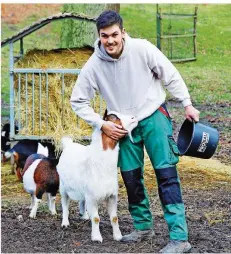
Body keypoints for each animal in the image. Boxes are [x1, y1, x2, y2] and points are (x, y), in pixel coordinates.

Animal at [57, 112, 137, 242]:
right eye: (114, 117)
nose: (133, 118)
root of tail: (69, 145)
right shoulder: (92, 197)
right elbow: (96, 218)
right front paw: (96, 238)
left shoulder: (112, 196)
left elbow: (114, 217)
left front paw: (118, 236)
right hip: (63, 187)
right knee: (65, 204)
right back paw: (65, 223)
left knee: (82, 201)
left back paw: (84, 215)